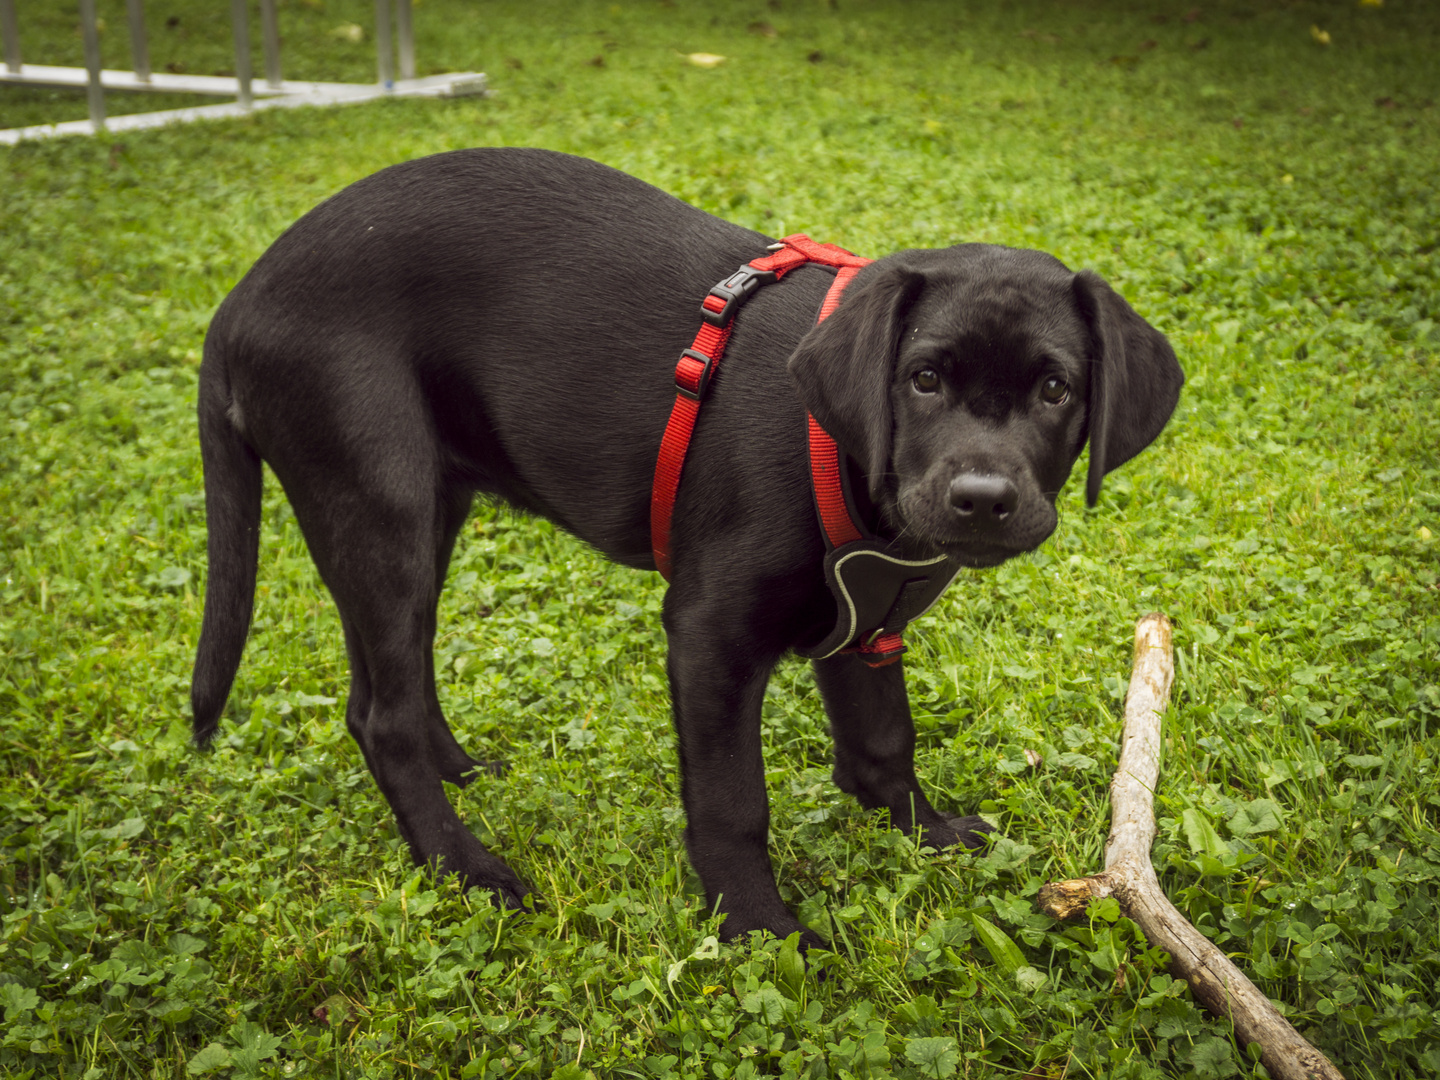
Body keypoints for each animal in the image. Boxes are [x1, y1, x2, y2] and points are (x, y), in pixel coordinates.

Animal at [191, 146, 1180, 944]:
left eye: (1055, 390)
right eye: (925, 379)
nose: (982, 499)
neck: (850, 454)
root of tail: (239, 300)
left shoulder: (866, 624)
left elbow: (882, 744)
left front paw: (923, 831)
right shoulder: (710, 637)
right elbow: (733, 802)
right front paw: (756, 927)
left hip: (422, 512)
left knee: (390, 680)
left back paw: (463, 774)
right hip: (380, 503)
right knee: (381, 715)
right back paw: (465, 868)